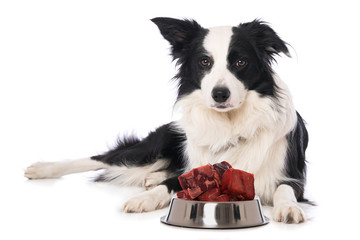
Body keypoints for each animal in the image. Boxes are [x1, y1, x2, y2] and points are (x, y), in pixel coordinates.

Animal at [23, 17, 308, 223]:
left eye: (240, 62)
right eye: (204, 62)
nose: (219, 94)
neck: (229, 124)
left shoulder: (293, 179)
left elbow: (285, 190)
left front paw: (289, 209)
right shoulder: (195, 170)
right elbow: (167, 185)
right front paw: (144, 198)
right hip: (150, 147)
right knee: (103, 157)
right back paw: (42, 168)